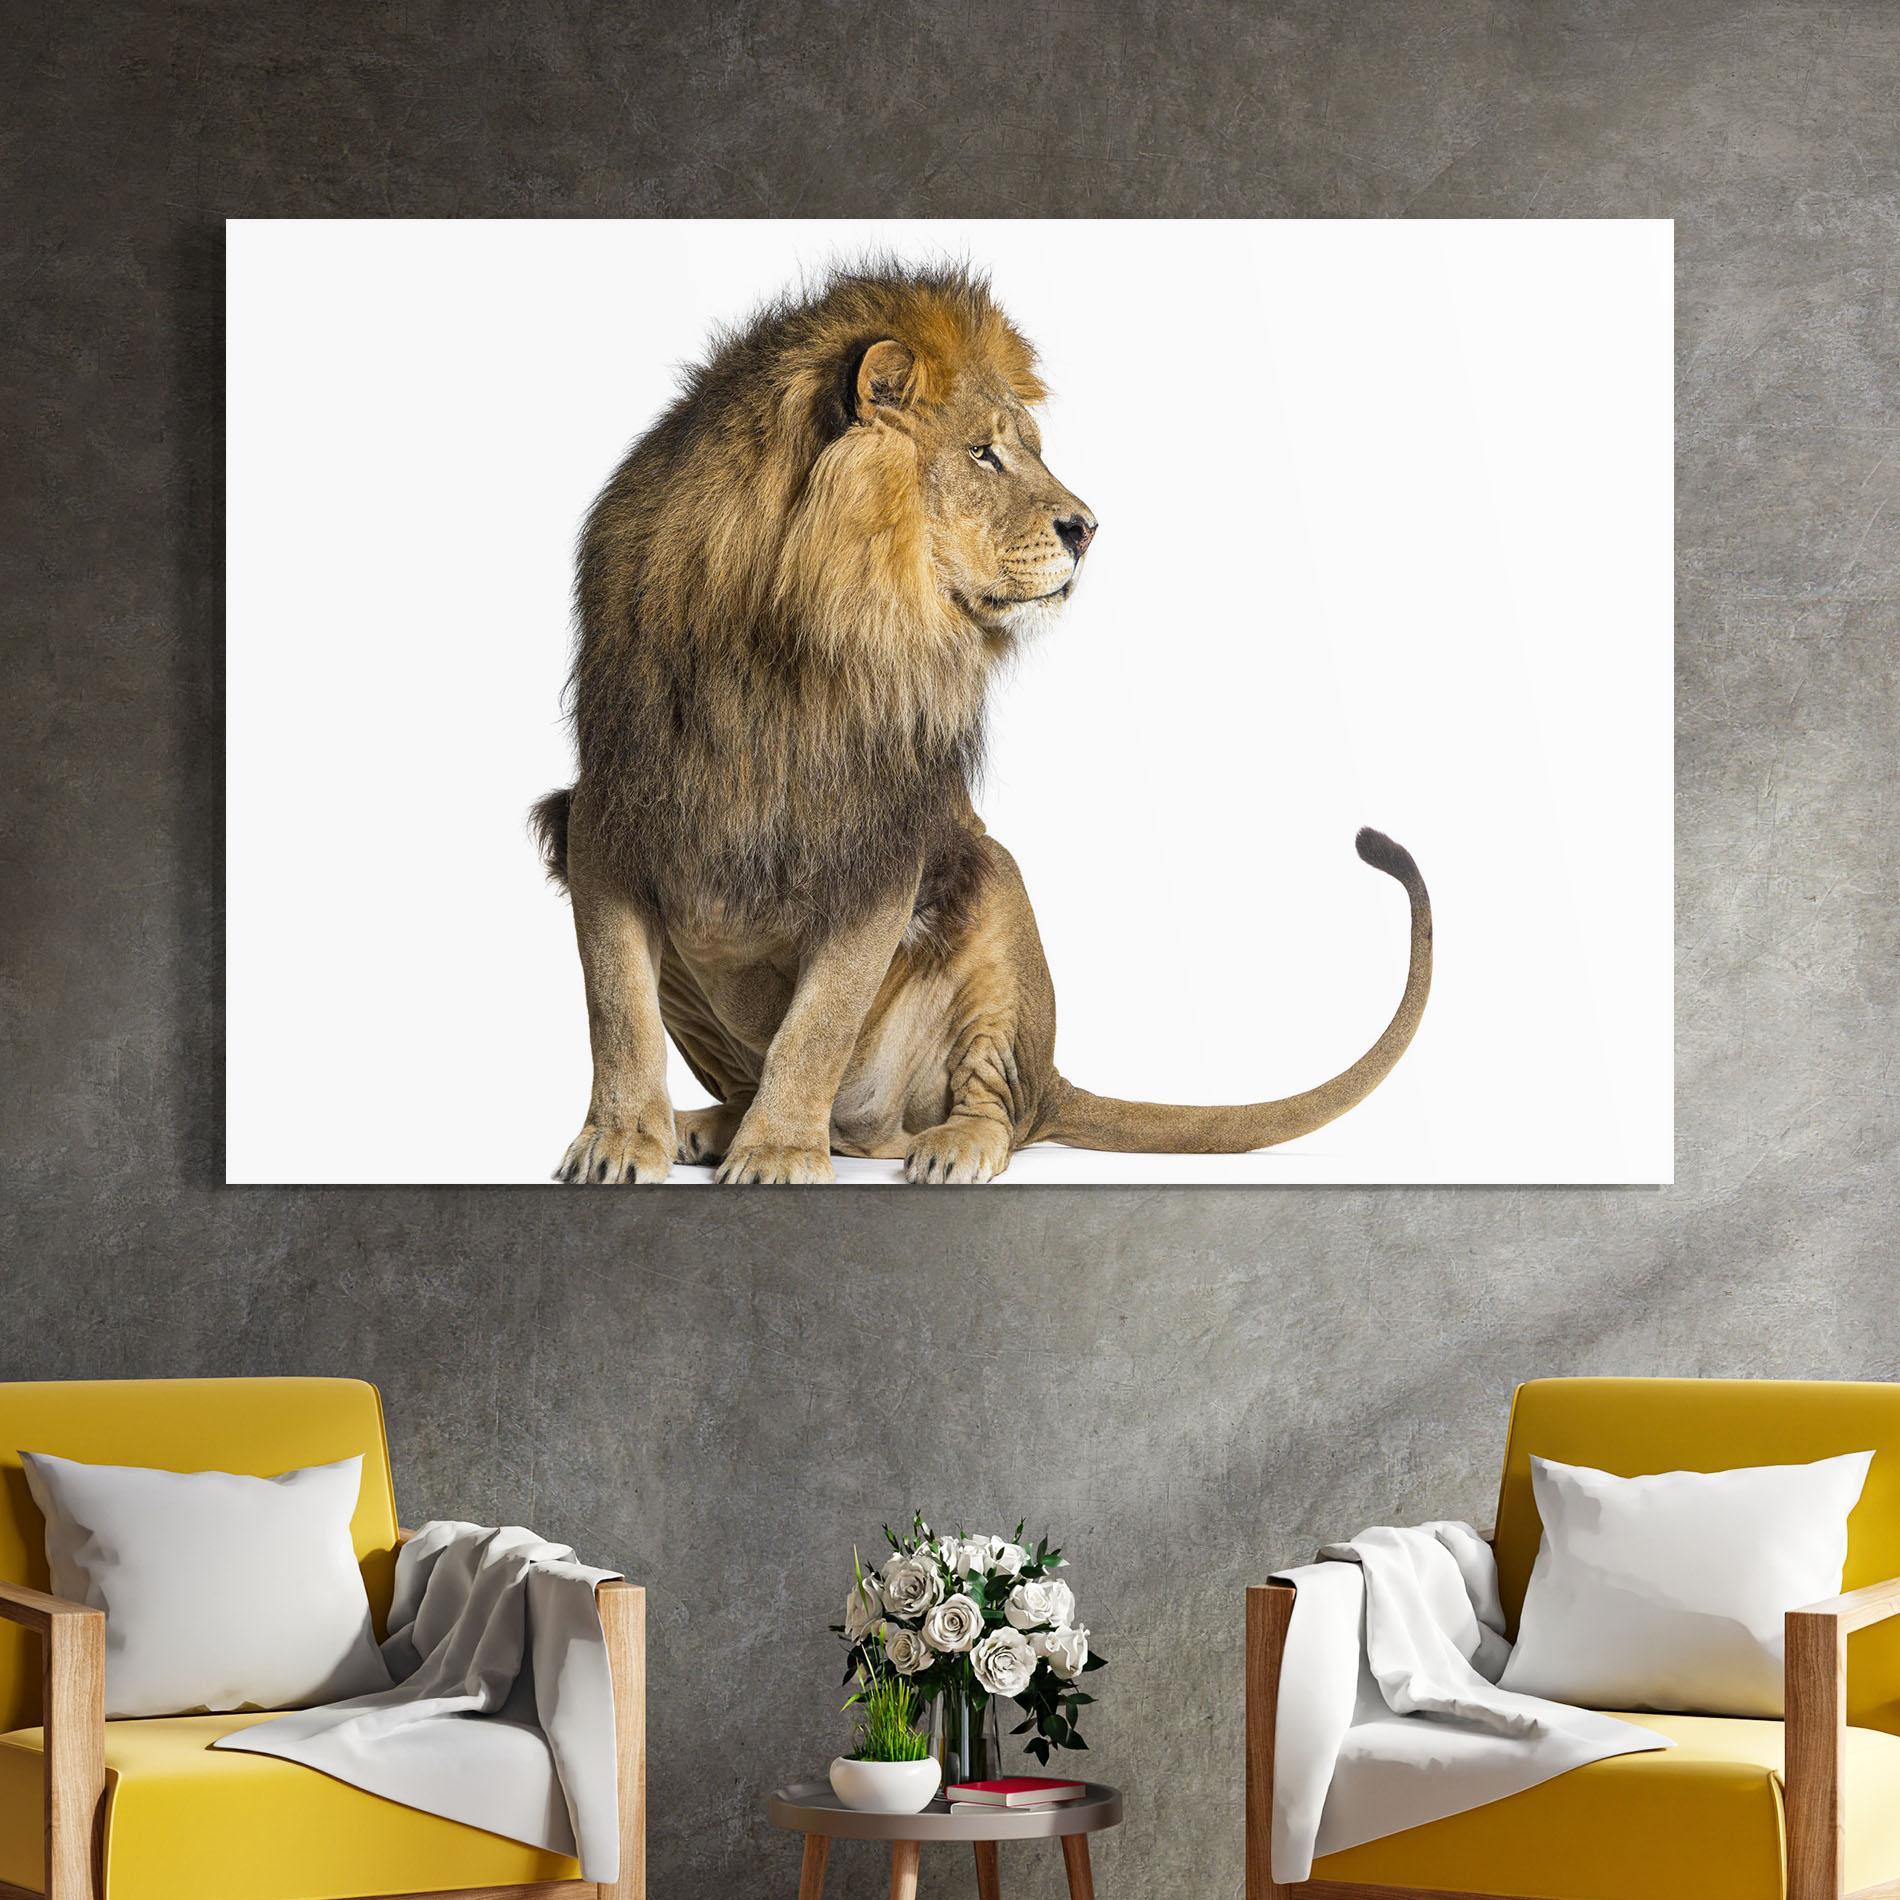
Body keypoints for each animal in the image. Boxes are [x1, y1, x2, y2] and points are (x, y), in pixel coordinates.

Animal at [531, 262, 1431, 1184]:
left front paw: (779, 1151)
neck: (788, 638)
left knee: (996, 1103)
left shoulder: (883, 842)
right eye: (983, 453)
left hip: (993, 893)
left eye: (1027, 448)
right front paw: (620, 1139)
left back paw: (944, 1143)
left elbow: (817, 1025)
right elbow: (617, 1007)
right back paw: (714, 1124)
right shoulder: (606, 812)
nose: (1088, 529)